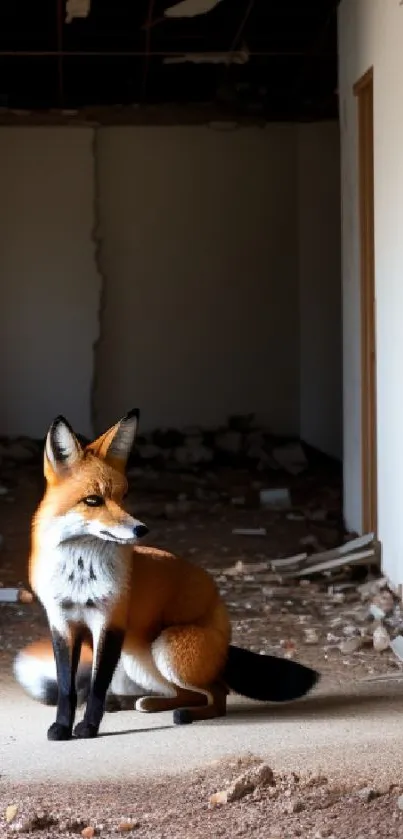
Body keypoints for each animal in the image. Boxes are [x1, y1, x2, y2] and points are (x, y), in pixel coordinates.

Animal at [12, 408, 320, 740]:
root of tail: (225, 637)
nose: (141, 529)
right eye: (93, 500)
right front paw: (61, 726)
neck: (79, 576)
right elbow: (67, 688)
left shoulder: (110, 621)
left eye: (124, 495)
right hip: (136, 660)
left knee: (217, 693)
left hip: (165, 648)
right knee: (183, 693)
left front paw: (89, 727)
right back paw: (141, 703)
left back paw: (186, 714)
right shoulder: (61, 623)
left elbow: (95, 687)